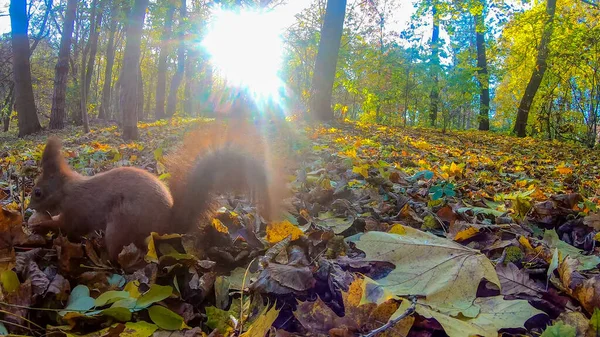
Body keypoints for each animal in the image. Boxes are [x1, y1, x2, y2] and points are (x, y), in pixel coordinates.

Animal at [28, 126, 278, 260]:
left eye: (38, 192)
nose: (30, 207)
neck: (68, 190)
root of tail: (167, 226)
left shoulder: (76, 211)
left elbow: (66, 227)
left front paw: (39, 226)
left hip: (121, 225)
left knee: (119, 253)